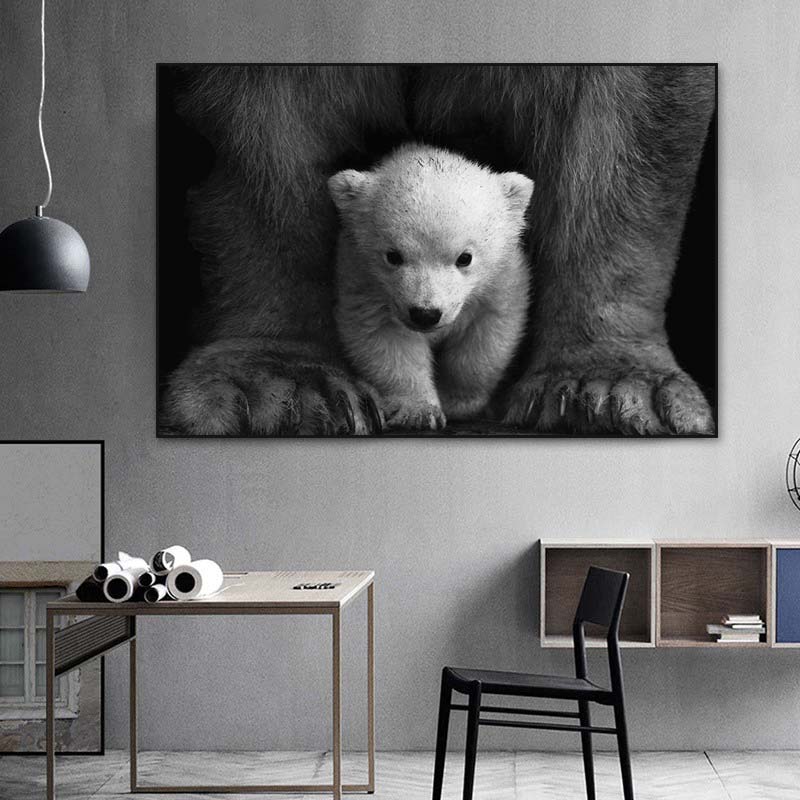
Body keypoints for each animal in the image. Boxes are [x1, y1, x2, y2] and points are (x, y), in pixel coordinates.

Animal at [328, 144, 533, 431]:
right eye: (393, 256)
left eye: (465, 257)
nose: (425, 314)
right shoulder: (363, 281)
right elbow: (386, 340)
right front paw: (419, 411)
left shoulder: (501, 280)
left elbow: (486, 338)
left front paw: (457, 402)